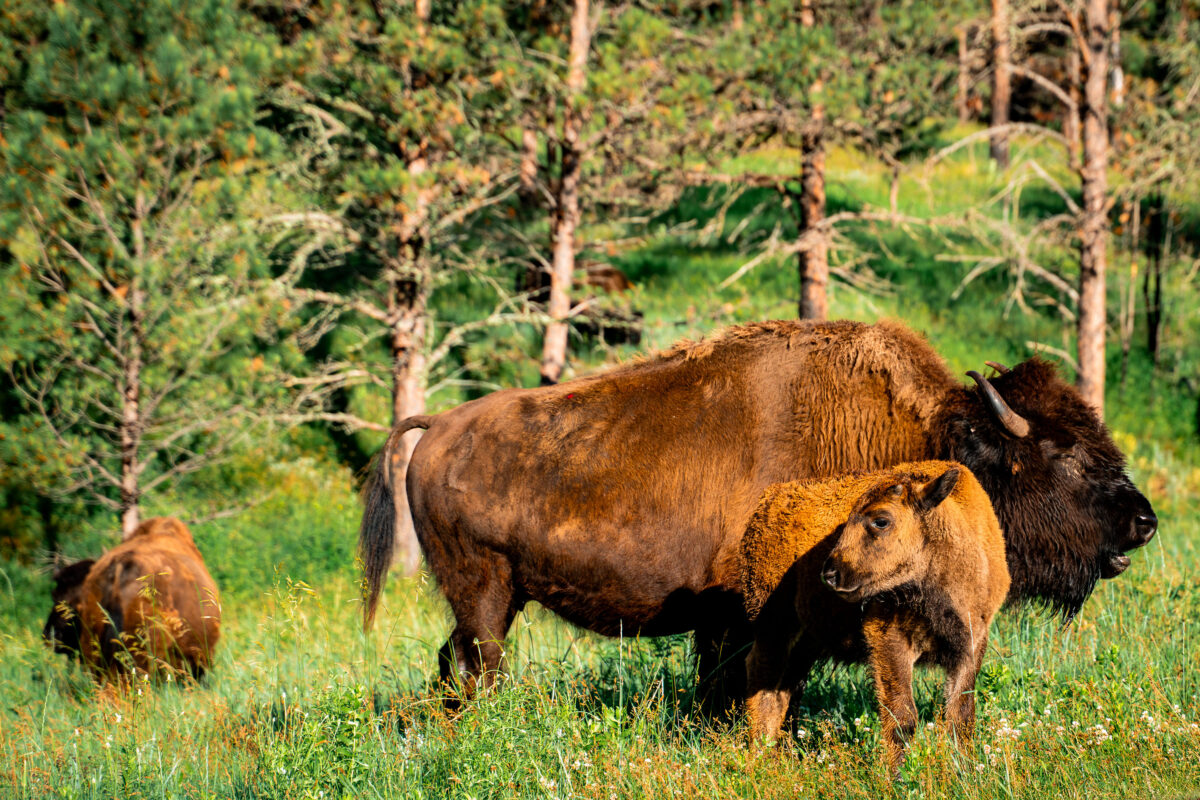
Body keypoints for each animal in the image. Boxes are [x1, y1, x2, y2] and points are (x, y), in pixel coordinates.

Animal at [358, 319, 1156, 697]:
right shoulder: (749, 617)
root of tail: (437, 426)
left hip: (495, 596)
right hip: (485, 594)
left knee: (453, 662)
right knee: (480, 664)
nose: (1143, 521)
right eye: (1066, 455)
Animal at [740, 461, 1009, 773]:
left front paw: (964, 772)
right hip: (773, 626)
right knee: (763, 681)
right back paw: (759, 758)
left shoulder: (972, 644)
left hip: (807, 640)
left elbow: (960, 715)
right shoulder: (889, 640)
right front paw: (899, 776)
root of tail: (769, 501)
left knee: (782, 688)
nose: (830, 575)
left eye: (881, 521)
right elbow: (902, 715)